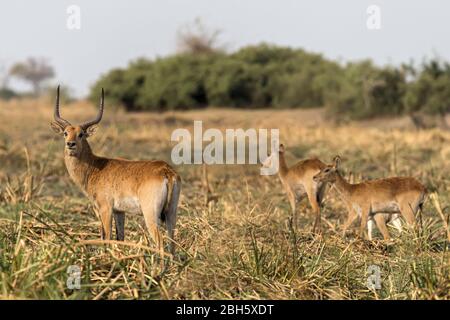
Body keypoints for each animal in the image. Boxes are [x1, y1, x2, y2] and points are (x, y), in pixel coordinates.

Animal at [50, 87, 180, 255]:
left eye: (81, 134)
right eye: (66, 133)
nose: (70, 144)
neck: (95, 168)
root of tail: (166, 171)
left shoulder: (105, 209)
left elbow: (106, 237)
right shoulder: (119, 211)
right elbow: (120, 237)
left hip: (150, 215)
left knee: (160, 242)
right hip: (171, 214)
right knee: (172, 242)